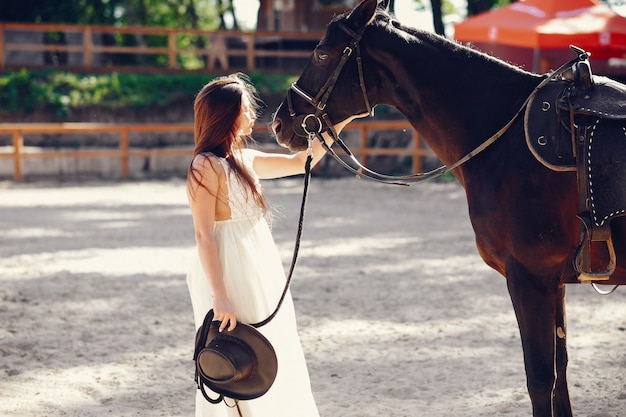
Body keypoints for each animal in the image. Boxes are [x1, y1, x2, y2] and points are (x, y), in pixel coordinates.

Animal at [272, 0, 624, 416]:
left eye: (322, 54)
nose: (279, 124)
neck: (507, 139)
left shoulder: (529, 278)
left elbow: (541, 380)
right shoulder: (553, 283)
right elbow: (561, 373)